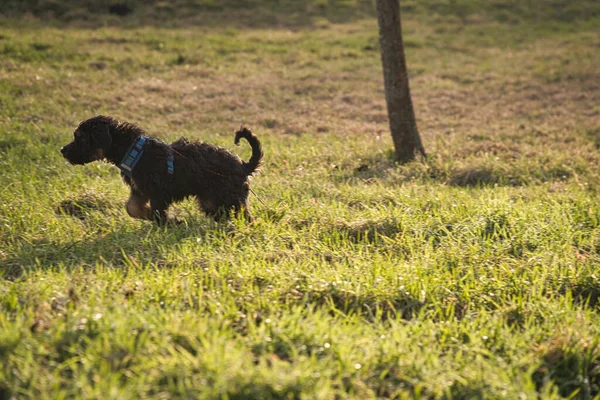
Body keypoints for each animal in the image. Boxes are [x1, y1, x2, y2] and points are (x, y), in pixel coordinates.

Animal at [60, 115, 262, 225]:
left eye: (80, 138)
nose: (62, 150)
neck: (133, 149)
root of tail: (244, 165)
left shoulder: (158, 193)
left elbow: (158, 213)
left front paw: (172, 222)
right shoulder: (139, 190)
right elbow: (131, 208)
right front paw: (149, 216)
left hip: (231, 197)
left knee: (245, 216)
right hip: (211, 200)